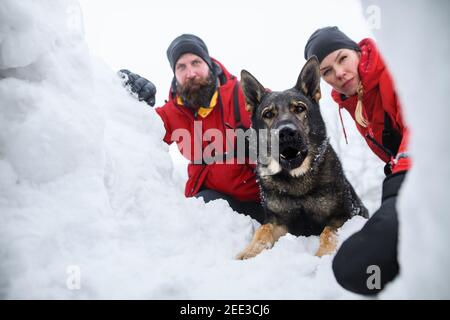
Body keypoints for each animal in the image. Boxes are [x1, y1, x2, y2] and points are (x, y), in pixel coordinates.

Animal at [237, 56, 368, 258]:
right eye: (268, 114)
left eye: (299, 108)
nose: (286, 132)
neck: (297, 180)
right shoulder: (278, 221)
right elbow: (263, 230)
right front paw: (249, 251)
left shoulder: (344, 215)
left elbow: (327, 232)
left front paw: (323, 254)